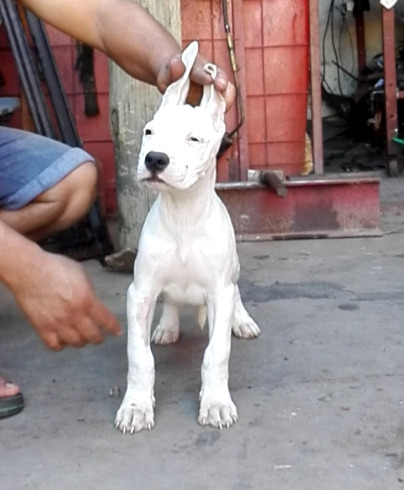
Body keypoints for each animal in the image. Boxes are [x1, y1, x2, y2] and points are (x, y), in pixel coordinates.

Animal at [115, 41, 260, 432]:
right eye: (149, 132)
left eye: (194, 139)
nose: (155, 160)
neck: (182, 215)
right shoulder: (140, 293)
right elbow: (139, 357)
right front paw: (136, 406)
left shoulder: (219, 293)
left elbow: (216, 353)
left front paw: (216, 403)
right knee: (171, 301)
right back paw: (167, 325)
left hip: (233, 270)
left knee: (237, 292)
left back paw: (243, 320)